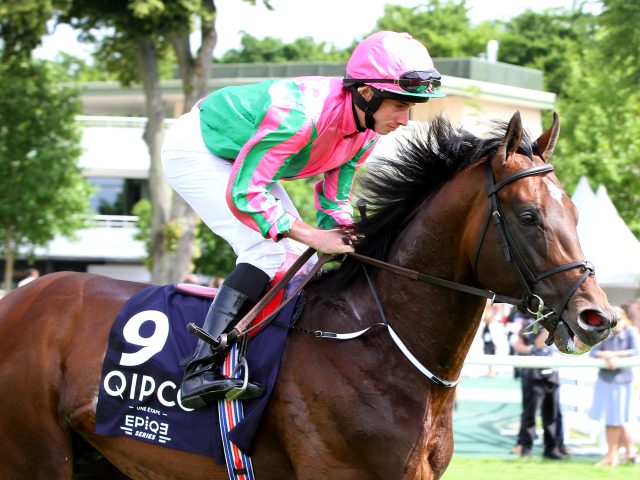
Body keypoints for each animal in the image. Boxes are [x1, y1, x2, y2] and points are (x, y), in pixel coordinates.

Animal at [1, 112, 620, 480]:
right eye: (528, 216)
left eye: (575, 212)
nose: (599, 317)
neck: (378, 346)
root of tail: (18, 299)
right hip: (35, 457)